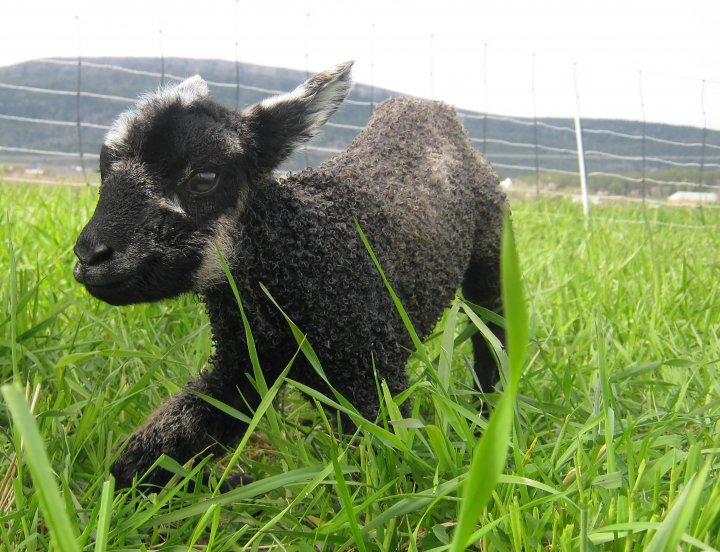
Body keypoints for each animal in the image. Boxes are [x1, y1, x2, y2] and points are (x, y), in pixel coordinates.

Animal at [71, 61, 506, 488]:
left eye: (204, 178)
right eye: (104, 169)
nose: (90, 255)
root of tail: (428, 107)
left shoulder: (372, 374)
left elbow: (390, 475)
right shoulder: (242, 367)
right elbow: (135, 465)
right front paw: (223, 485)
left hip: (491, 250)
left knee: (493, 332)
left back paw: (489, 409)